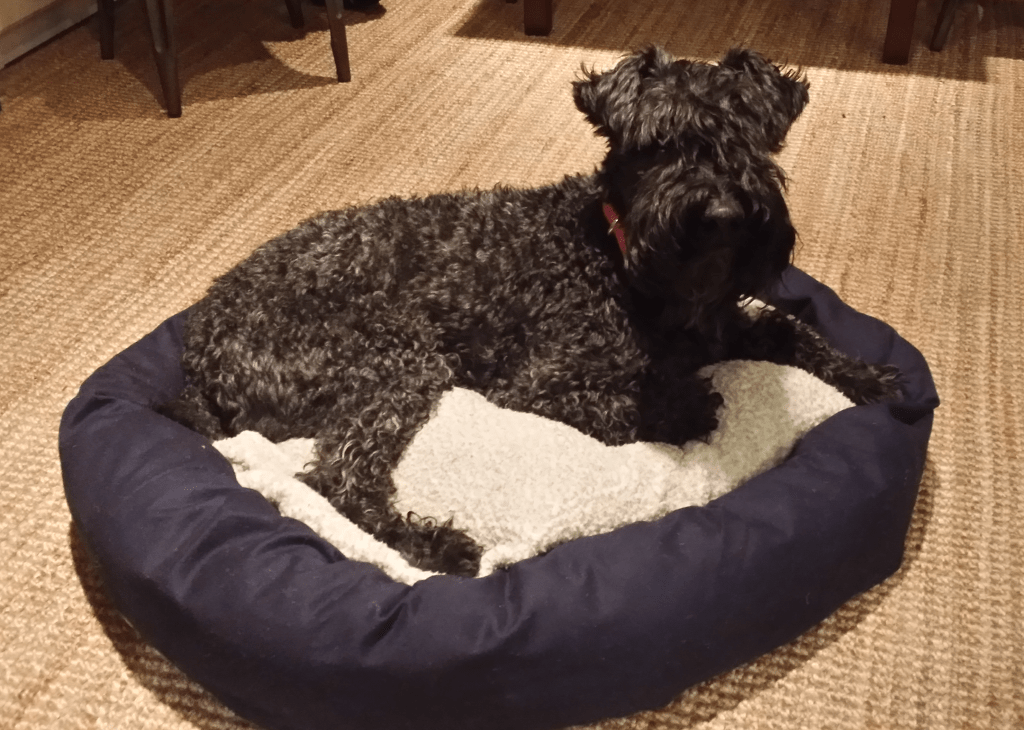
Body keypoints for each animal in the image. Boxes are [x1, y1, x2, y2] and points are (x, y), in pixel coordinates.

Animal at [159, 48, 897, 577]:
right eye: (657, 144)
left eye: (750, 138)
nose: (718, 212)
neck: (615, 253)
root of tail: (198, 353)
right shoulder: (541, 383)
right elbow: (625, 404)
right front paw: (684, 406)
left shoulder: (725, 325)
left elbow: (791, 329)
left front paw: (869, 376)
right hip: (397, 360)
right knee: (338, 477)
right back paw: (435, 546)